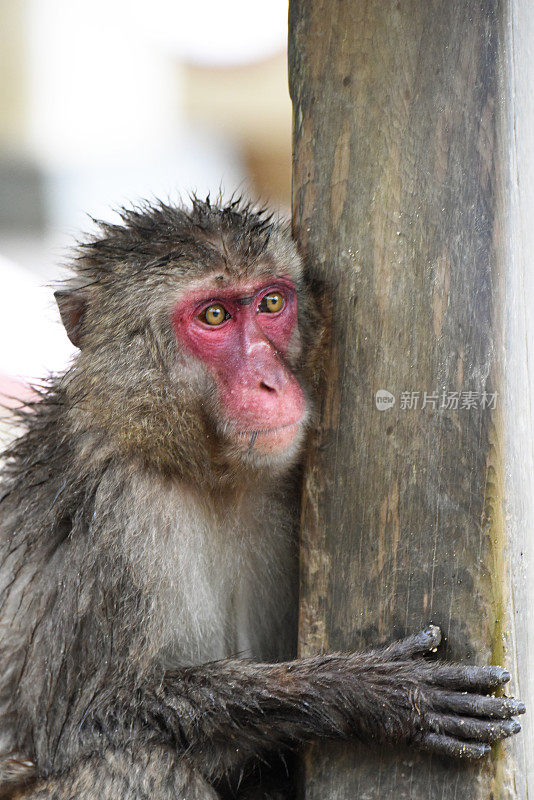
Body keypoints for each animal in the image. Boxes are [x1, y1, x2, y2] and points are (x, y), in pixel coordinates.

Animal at [0, 195, 528, 800]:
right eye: (214, 316)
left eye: (271, 301)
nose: (270, 381)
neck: (209, 473)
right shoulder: (114, 516)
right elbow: (83, 724)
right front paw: (369, 692)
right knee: (137, 762)